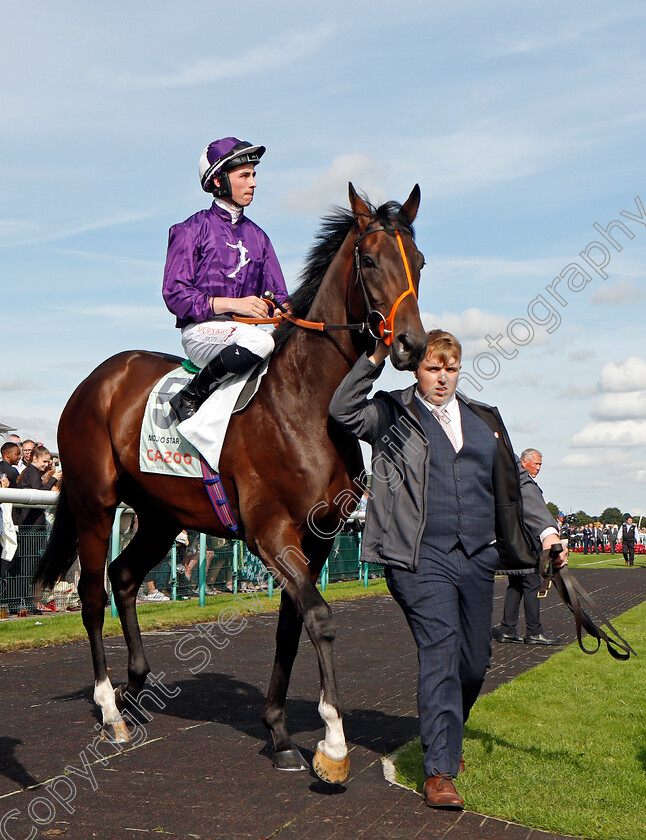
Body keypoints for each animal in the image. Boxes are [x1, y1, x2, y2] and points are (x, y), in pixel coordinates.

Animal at [35, 182, 430, 780]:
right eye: (368, 260)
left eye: (420, 262)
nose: (411, 345)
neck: (304, 403)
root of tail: (96, 379)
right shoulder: (270, 533)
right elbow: (320, 617)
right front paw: (333, 744)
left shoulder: (316, 539)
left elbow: (292, 626)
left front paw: (279, 732)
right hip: (94, 505)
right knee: (91, 592)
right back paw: (110, 710)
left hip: (159, 515)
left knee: (123, 577)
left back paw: (135, 687)